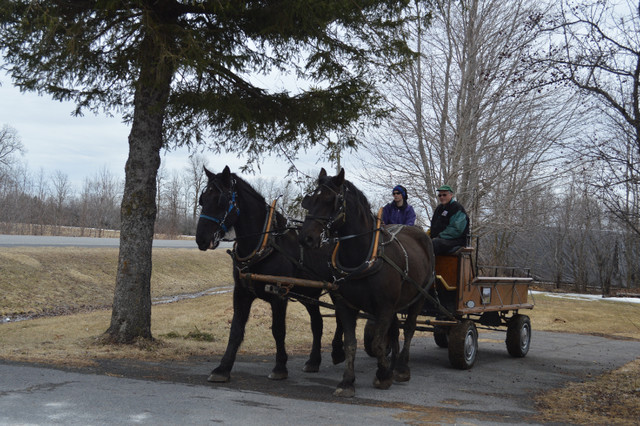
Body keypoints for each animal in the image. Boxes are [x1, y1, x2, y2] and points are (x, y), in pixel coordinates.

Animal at [196, 166, 342, 382]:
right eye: (202, 199)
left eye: (220, 201)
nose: (201, 239)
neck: (265, 244)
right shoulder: (241, 293)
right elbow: (236, 330)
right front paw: (223, 368)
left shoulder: (279, 294)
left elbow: (278, 330)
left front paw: (280, 367)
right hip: (309, 293)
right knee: (318, 323)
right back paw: (314, 361)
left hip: (338, 289)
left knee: (342, 317)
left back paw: (338, 351)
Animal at [300, 168, 436, 398]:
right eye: (310, 200)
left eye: (330, 200)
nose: (306, 238)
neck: (362, 255)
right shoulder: (346, 306)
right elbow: (351, 344)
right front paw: (347, 381)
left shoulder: (384, 307)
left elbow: (379, 343)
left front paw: (383, 376)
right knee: (395, 331)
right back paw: (393, 364)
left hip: (418, 297)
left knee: (409, 329)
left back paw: (401, 368)